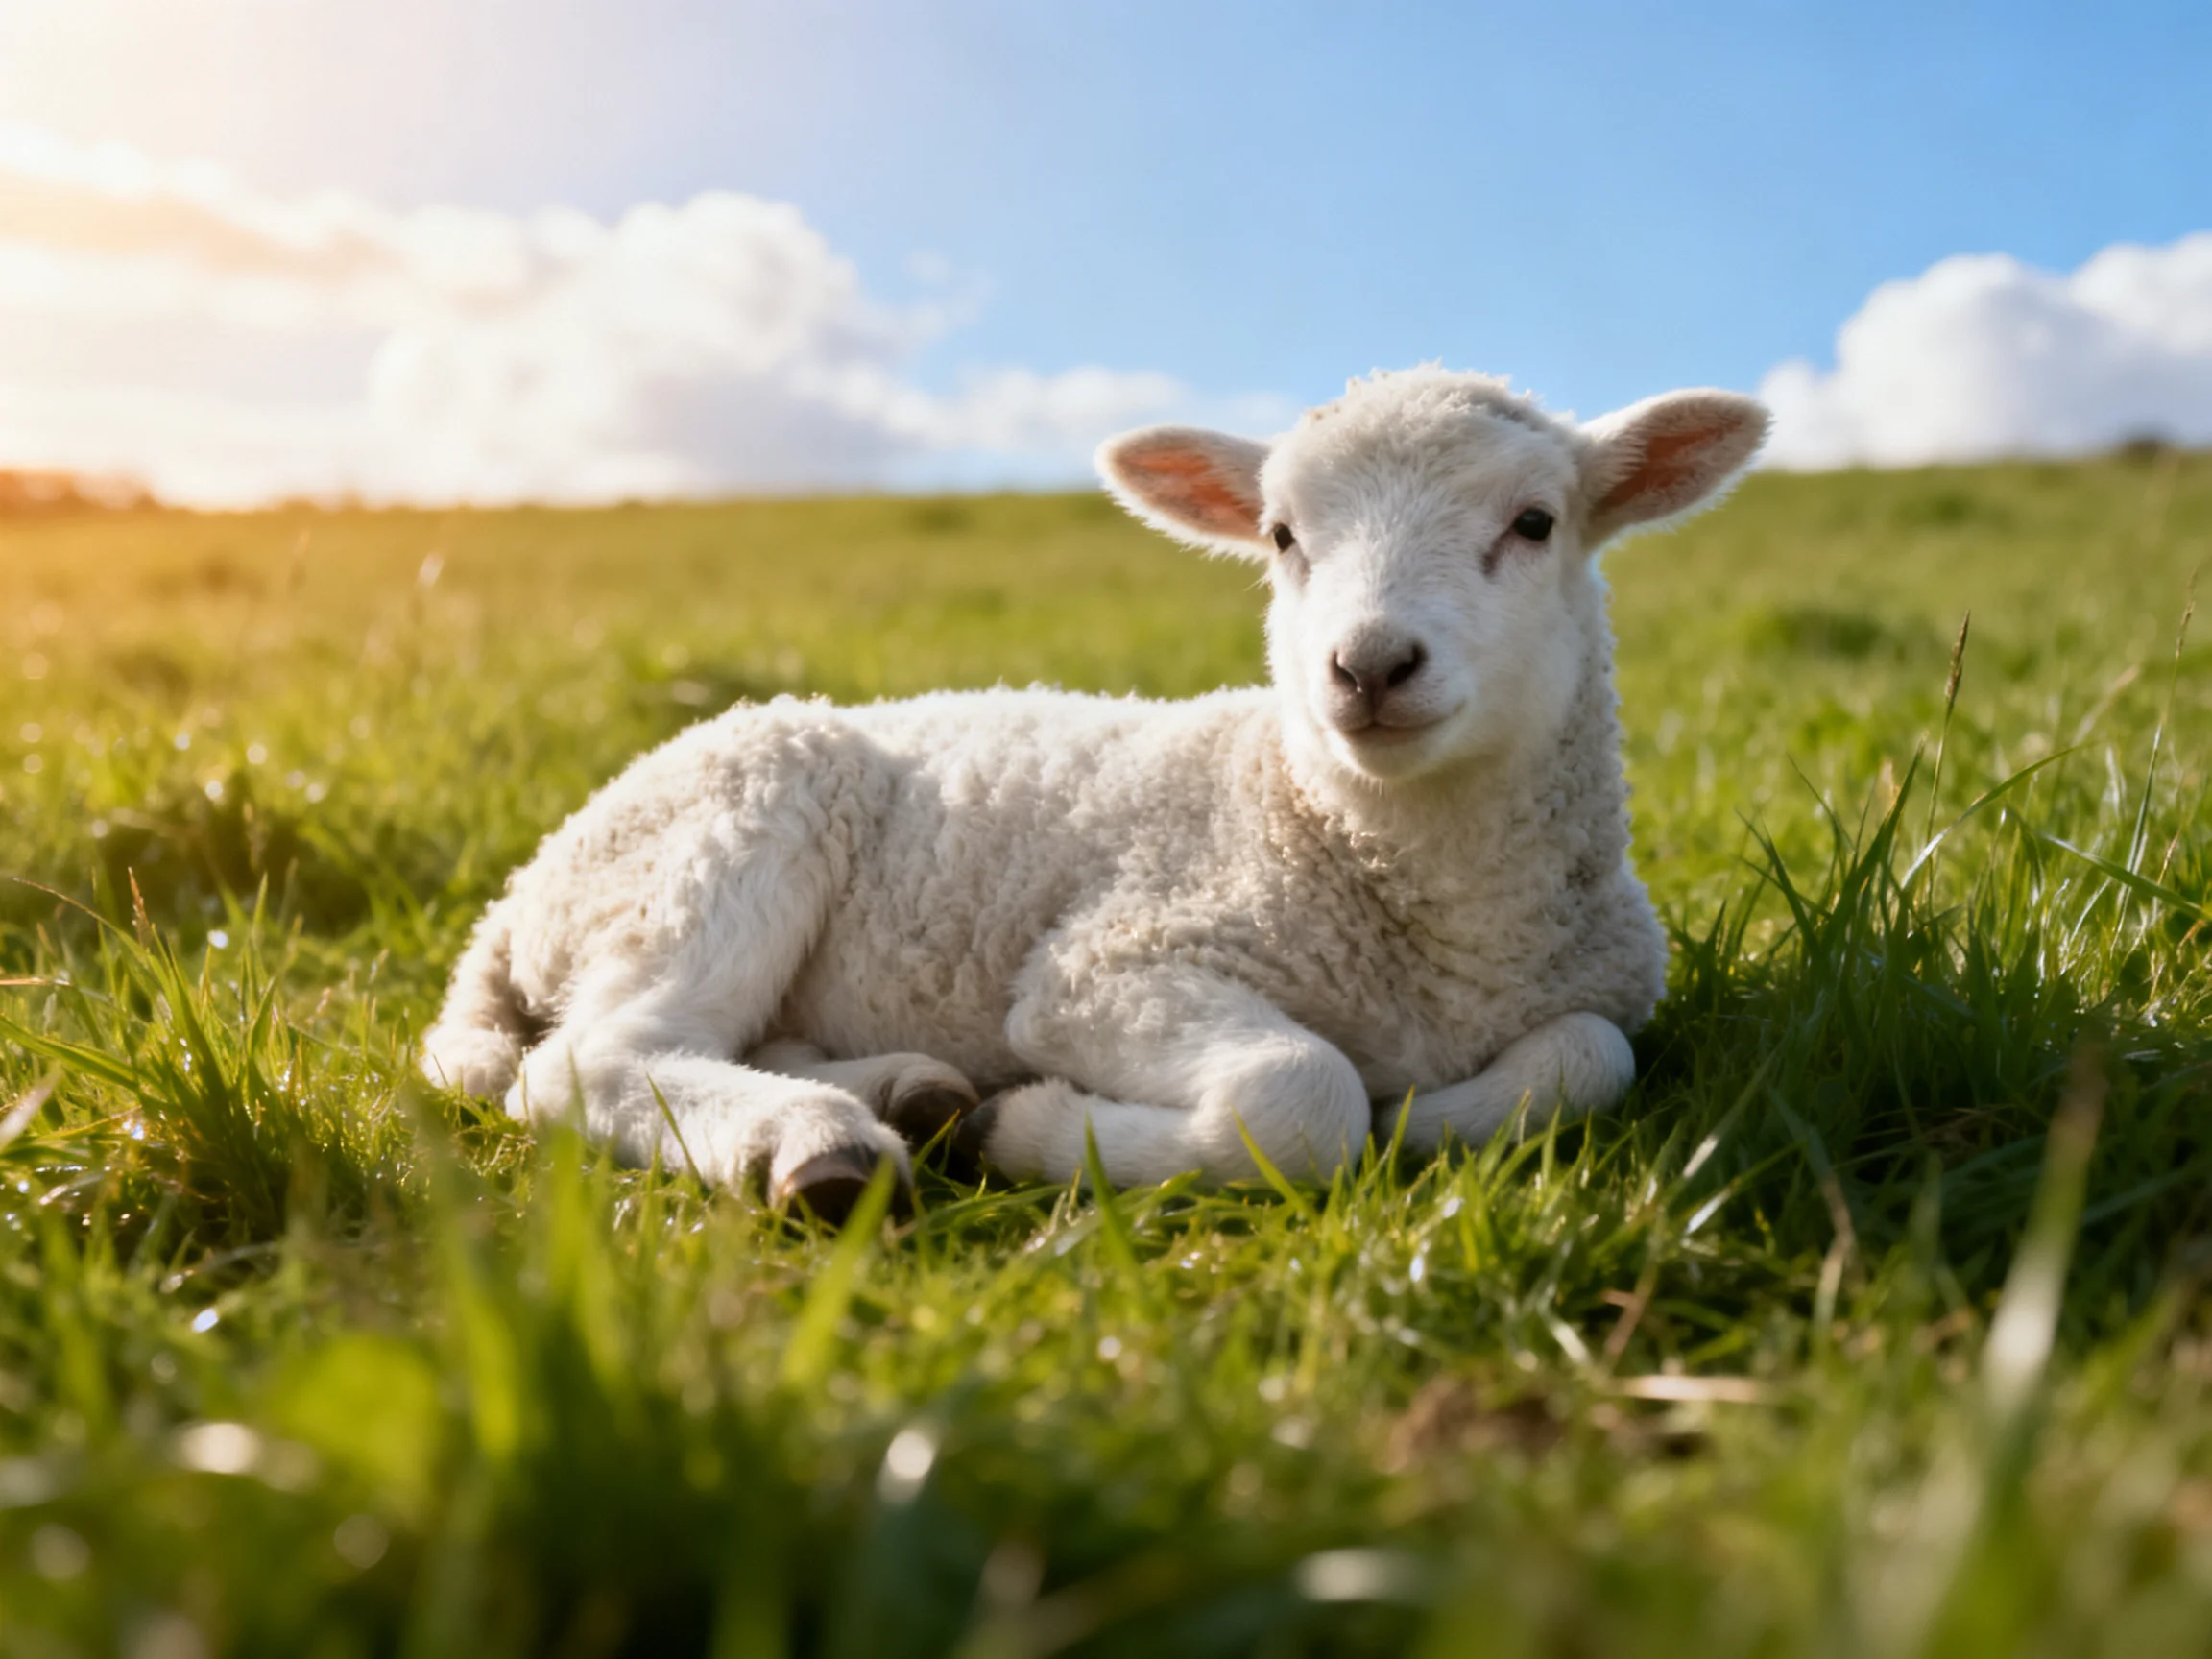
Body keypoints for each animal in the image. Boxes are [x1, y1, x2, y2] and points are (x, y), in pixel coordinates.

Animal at [419, 366, 1768, 1218]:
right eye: (1283, 537)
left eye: (1535, 522)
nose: (1370, 666)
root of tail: (514, 897)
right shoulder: (1104, 965)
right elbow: (1303, 1096)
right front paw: (1036, 1132)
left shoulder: (1600, 987)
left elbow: (1588, 1060)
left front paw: (1426, 1117)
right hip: (728, 828)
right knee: (593, 1061)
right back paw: (817, 1144)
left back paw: (903, 1094)